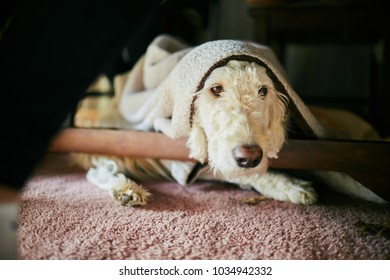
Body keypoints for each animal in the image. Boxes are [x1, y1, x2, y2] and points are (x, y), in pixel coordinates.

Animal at [73, 59, 320, 206]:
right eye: (216, 88)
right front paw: (289, 185)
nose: (249, 156)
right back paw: (125, 189)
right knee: (98, 171)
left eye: (263, 90)